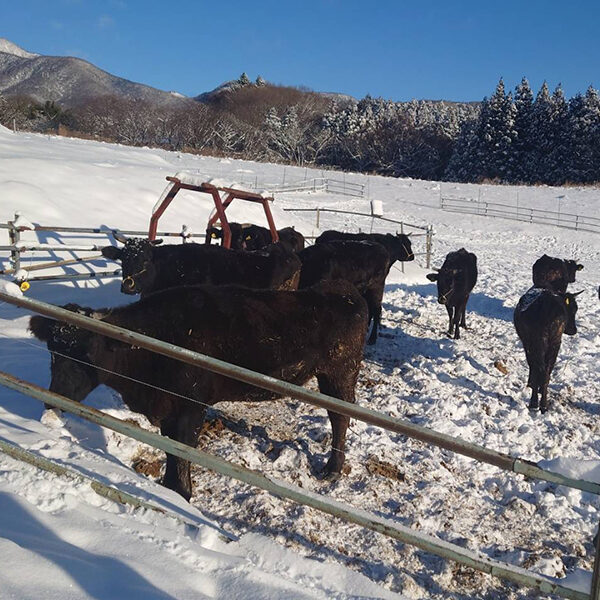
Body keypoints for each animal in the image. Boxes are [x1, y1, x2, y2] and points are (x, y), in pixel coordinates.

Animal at [31, 284, 370, 500]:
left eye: (88, 352)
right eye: (52, 351)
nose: (54, 397)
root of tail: (347, 294)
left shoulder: (189, 408)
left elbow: (183, 451)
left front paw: (182, 494)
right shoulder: (167, 410)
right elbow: (171, 451)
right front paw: (168, 487)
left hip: (339, 377)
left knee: (339, 419)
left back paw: (332, 469)